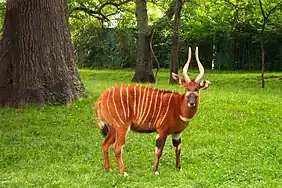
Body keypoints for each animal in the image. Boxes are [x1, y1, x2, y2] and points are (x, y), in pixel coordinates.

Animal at [93, 46, 210, 176]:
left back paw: (108, 169)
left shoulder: (177, 133)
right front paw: (155, 170)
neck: (178, 107)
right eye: (186, 88)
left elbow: (178, 149)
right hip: (121, 127)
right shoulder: (162, 130)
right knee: (117, 148)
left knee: (105, 144)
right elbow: (158, 150)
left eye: (197, 89)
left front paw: (178, 168)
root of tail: (101, 98)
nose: (191, 103)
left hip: (113, 128)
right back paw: (124, 173)